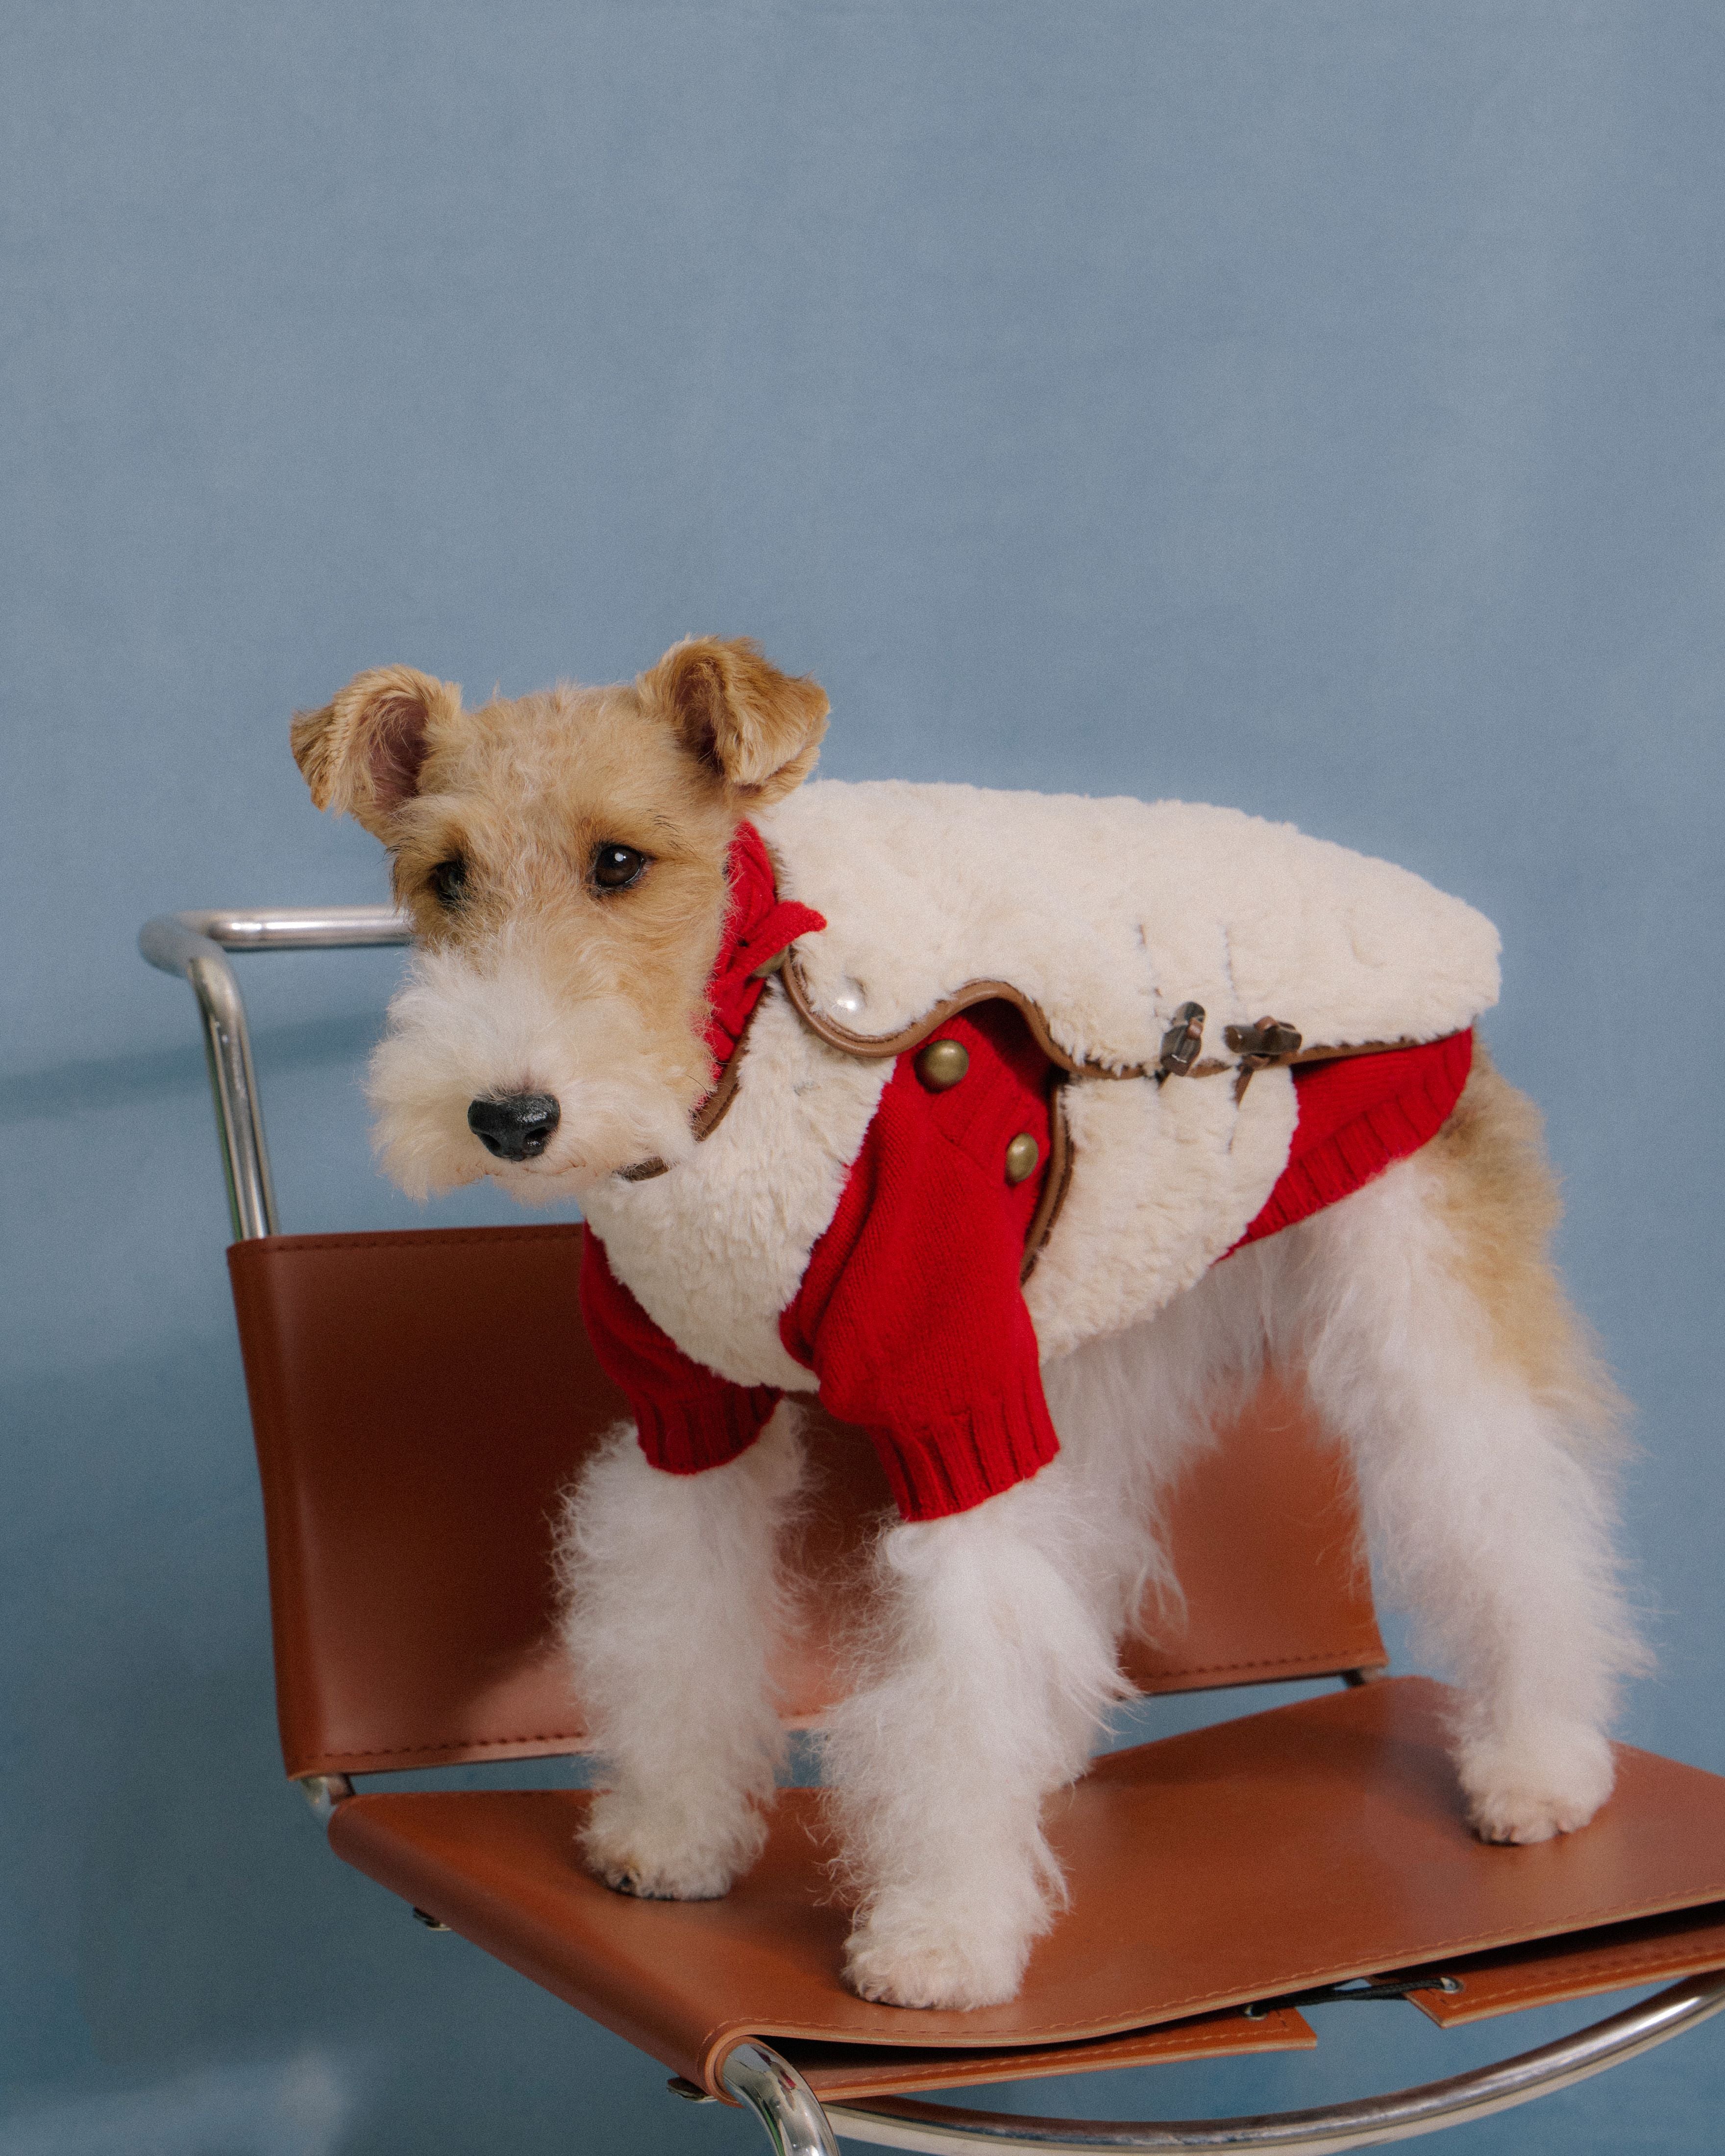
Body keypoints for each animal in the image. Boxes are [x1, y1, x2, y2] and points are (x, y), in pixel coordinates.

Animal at [293, 629, 1647, 2009]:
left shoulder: (950, 1392)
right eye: (445, 875)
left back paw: (1539, 1762)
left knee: (1510, 1515)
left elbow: (955, 1661)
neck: (743, 1048)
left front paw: (939, 1934)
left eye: (618, 860)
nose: (508, 1117)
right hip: (1097, 1314)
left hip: (1415, 1291)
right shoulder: (689, 1409)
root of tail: (1439, 923)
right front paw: (674, 1836)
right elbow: (681, 1623)